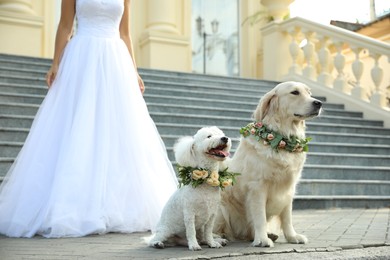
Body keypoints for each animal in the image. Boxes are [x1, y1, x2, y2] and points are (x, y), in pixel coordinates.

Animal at [215, 81, 322, 248]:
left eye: (309, 93)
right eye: (295, 92)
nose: (319, 103)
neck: (281, 139)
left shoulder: (289, 188)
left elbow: (287, 217)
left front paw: (292, 237)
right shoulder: (257, 187)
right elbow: (260, 217)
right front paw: (262, 239)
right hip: (220, 206)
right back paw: (218, 239)